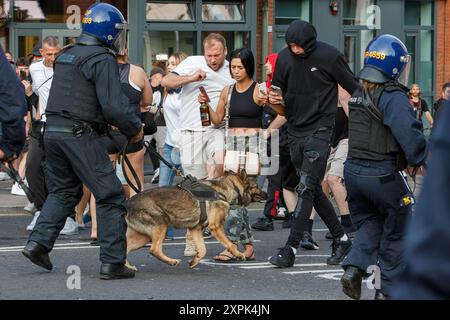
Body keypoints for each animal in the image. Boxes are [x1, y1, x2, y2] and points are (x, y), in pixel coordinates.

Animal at [124, 170, 268, 270]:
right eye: (256, 186)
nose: (267, 194)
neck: (226, 188)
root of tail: (128, 203)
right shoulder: (216, 227)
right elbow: (230, 244)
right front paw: (238, 254)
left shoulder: (195, 229)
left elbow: (203, 250)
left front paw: (194, 261)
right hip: (161, 226)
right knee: (154, 250)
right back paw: (172, 261)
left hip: (143, 238)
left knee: (125, 249)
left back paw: (128, 267)